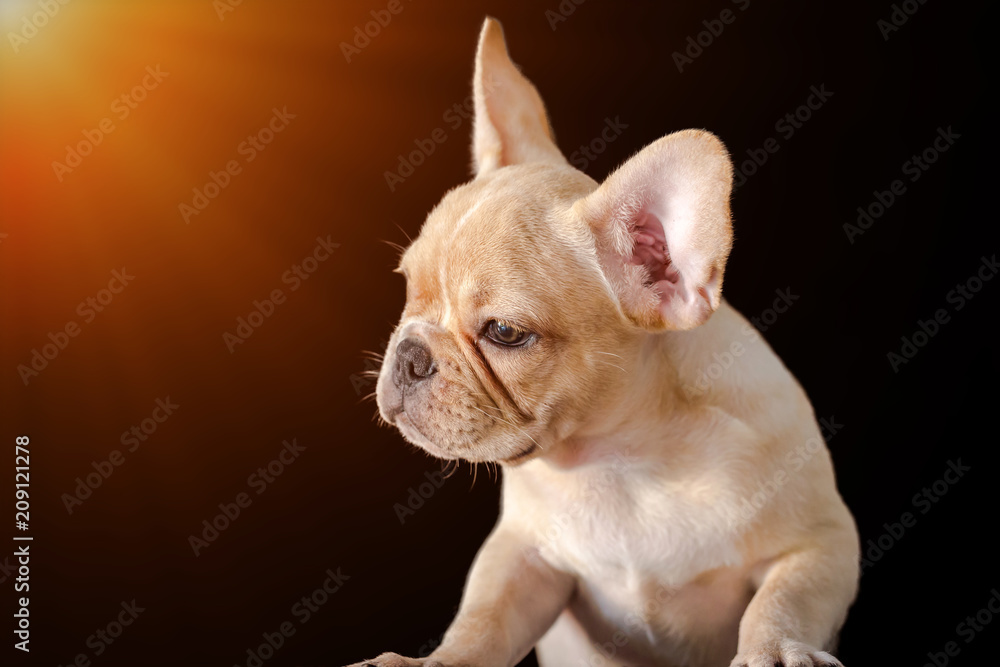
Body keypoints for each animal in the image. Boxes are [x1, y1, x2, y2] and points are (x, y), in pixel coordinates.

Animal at [354, 14, 860, 667]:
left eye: (505, 333)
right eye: (407, 289)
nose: (410, 354)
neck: (623, 460)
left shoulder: (820, 545)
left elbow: (783, 600)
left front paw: (774, 652)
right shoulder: (521, 555)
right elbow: (483, 620)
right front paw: (435, 662)